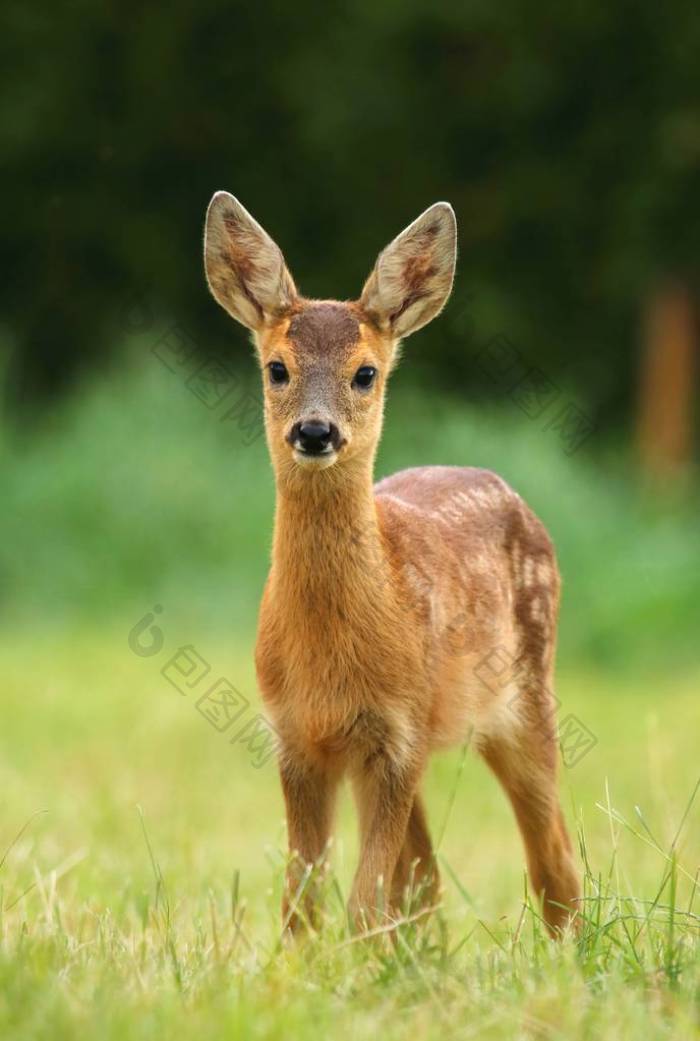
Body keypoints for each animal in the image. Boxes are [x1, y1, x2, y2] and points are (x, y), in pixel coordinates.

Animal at [203, 192, 581, 936]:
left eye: (366, 373)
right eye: (277, 368)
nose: (315, 431)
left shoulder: (398, 732)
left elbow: (364, 898)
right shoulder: (297, 737)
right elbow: (304, 898)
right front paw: (302, 963)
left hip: (526, 695)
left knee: (553, 857)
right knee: (429, 878)